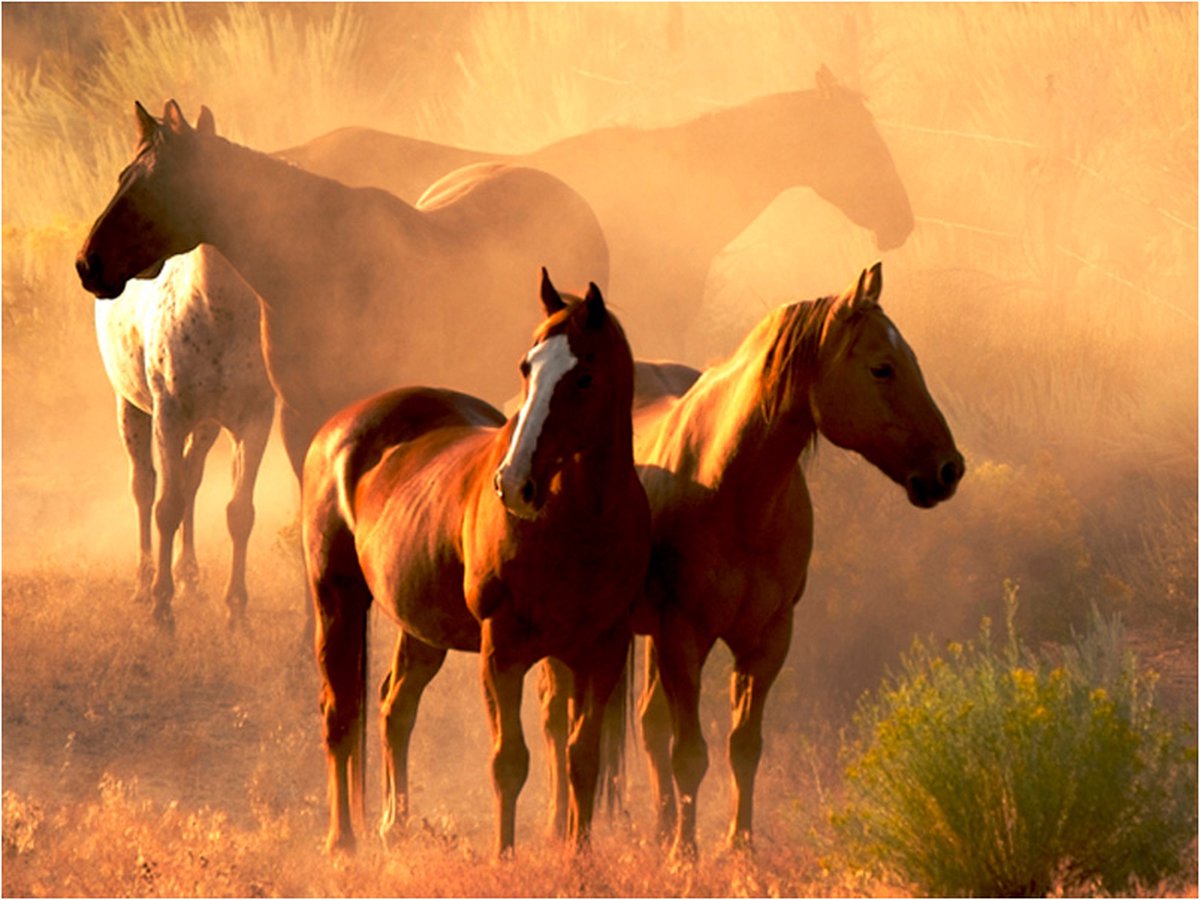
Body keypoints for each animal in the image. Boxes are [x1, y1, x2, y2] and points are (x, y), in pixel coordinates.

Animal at [75, 100, 610, 484]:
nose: (87, 263)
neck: (316, 270)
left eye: (156, 187)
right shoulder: (297, 420)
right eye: (123, 177)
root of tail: (574, 198)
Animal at [94, 244, 274, 632]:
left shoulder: (254, 420)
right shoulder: (169, 416)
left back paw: (189, 574)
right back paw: (143, 582)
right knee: (144, 486)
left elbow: (239, 512)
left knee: (191, 479)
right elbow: (166, 507)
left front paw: (236, 610)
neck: (218, 314)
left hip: (206, 427)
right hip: (130, 409)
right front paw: (162, 607)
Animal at [301, 271, 650, 857]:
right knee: (340, 714)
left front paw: (577, 858)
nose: (514, 483)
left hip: (421, 629)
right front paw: (503, 859)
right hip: (337, 600)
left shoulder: (599, 650)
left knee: (395, 706)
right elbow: (509, 761)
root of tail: (339, 430)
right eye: (526, 367)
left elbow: (582, 758)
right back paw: (341, 842)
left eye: (584, 377)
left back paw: (394, 824)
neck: (579, 524)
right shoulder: (501, 651)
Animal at [540, 262, 963, 858]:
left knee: (647, 725)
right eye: (883, 367)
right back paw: (561, 827)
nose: (949, 469)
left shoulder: (766, 640)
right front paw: (685, 856)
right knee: (558, 723)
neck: (734, 489)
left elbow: (743, 747)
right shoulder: (685, 636)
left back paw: (661, 827)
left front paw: (737, 848)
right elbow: (690, 753)